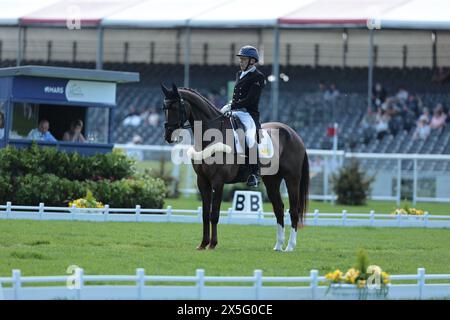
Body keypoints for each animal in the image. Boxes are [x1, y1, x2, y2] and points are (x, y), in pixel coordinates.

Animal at [162, 84, 310, 252]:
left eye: (176, 107)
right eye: (164, 108)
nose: (168, 135)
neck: (212, 135)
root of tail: (294, 134)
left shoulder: (218, 181)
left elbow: (214, 214)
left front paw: (212, 244)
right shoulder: (203, 181)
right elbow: (205, 214)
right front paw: (203, 244)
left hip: (292, 179)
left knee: (294, 210)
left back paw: (290, 246)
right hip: (272, 180)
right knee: (278, 208)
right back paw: (278, 245)